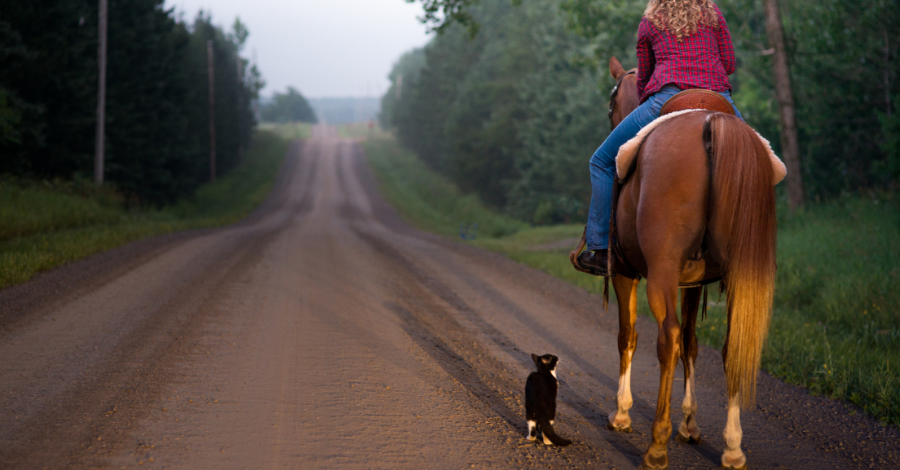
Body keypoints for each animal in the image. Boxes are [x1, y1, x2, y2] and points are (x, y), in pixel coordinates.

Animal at [600, 57, 776, 468]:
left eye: (611, 103)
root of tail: (711, 124)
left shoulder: (627, 274)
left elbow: (628, 335)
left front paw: (622, 413)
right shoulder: (694, 282)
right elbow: (693, 344)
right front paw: (690, 424)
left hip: (661, 271)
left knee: (667, 337)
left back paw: (657, 444)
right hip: (737, 273)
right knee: (729, 347)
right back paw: (732, 447)